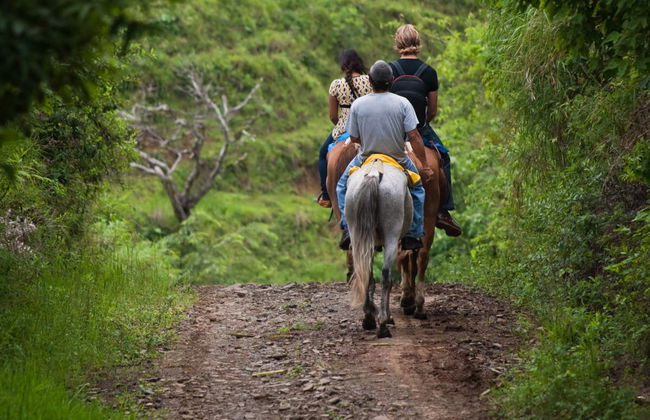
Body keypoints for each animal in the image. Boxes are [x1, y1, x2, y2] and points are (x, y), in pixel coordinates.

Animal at [345, 158, 412, 338]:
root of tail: (375, 173)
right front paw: (388, 317)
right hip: (392, 236)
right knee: (386, 276)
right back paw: (382, 324)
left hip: (357, 235)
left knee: (365, 273)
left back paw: (369, 318)